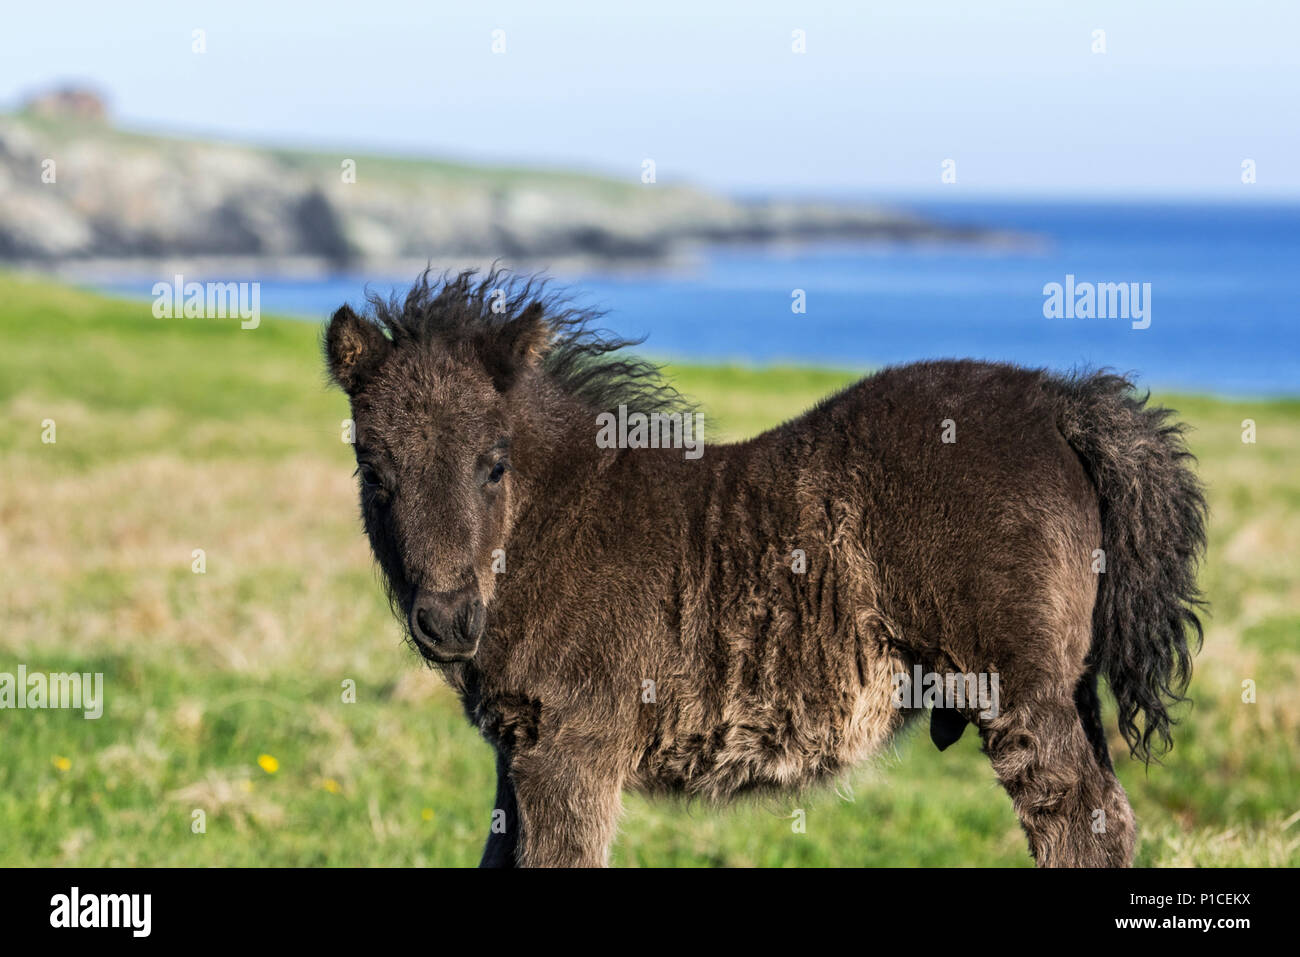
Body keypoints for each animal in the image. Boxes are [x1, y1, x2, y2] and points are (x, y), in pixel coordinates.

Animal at [325, 269, 1206, 868]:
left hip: (1018, 687)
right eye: (373, 469)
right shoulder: (519, 750)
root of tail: (1061, 403)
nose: (447, 619)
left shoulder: (571, 748)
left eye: (495, 464)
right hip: (1069, 680)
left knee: (1077, 821)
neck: (556, 519)